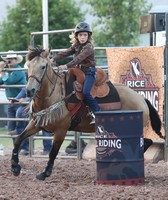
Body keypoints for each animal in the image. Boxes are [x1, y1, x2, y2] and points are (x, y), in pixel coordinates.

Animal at [10, 47, 163, 180]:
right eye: (28, 65)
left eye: (43, 66)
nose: (29, 90)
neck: (54, 95)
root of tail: (141, 98)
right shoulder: (37, 123)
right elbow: (18, 139)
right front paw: (15, 167)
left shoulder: (61, 130)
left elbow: (53, 152)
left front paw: (45, 173)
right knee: (144, 142)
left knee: (143, 142)